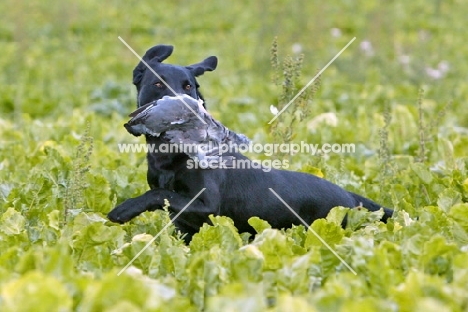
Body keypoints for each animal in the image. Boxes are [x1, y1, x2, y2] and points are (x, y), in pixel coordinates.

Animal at [109, 45, 392, 243]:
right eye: (157, 83)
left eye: (189, 86)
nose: (186, 107)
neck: (170, 158)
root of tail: (350, 196)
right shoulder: (184, 226)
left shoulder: (207, 205)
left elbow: (159, 193)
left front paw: (124, 209)